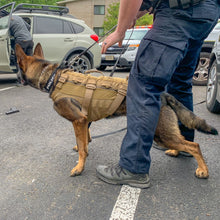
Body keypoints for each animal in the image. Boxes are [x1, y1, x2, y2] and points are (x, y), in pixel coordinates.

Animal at [15, 43, 218, 179]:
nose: (16, 78)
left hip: (160, 134)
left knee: (194, 146)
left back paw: (203, 170)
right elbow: (84, 141)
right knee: (183, 141)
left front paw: (79, 167)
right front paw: (82, 148)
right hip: (165, 133)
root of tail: (163, 94)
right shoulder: (85, 121)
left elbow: (82, 148)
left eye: (18, 67)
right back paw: (176, 152)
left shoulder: (78, 121)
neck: (53, 78)